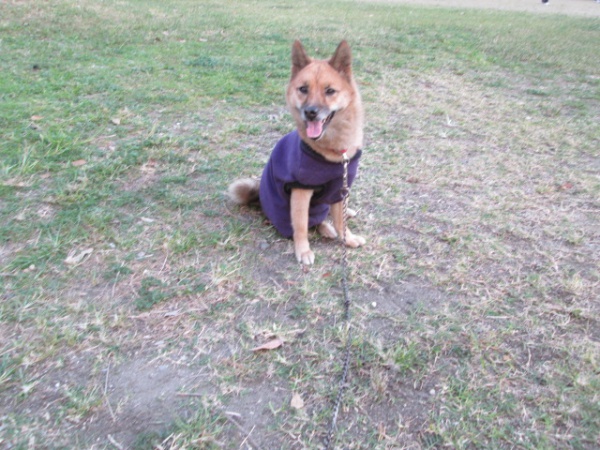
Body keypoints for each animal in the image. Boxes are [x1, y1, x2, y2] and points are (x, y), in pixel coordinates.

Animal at [228, 40, 365, 265]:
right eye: (303, 89)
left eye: (330, 91)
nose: (310, 112)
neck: (333, 152)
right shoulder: (301, 190)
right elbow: (300, 225)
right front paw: (303, 250)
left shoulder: (340, 187)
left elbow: (341, 219)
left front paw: (348, 238)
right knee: (313, 221)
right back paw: (326, 229)